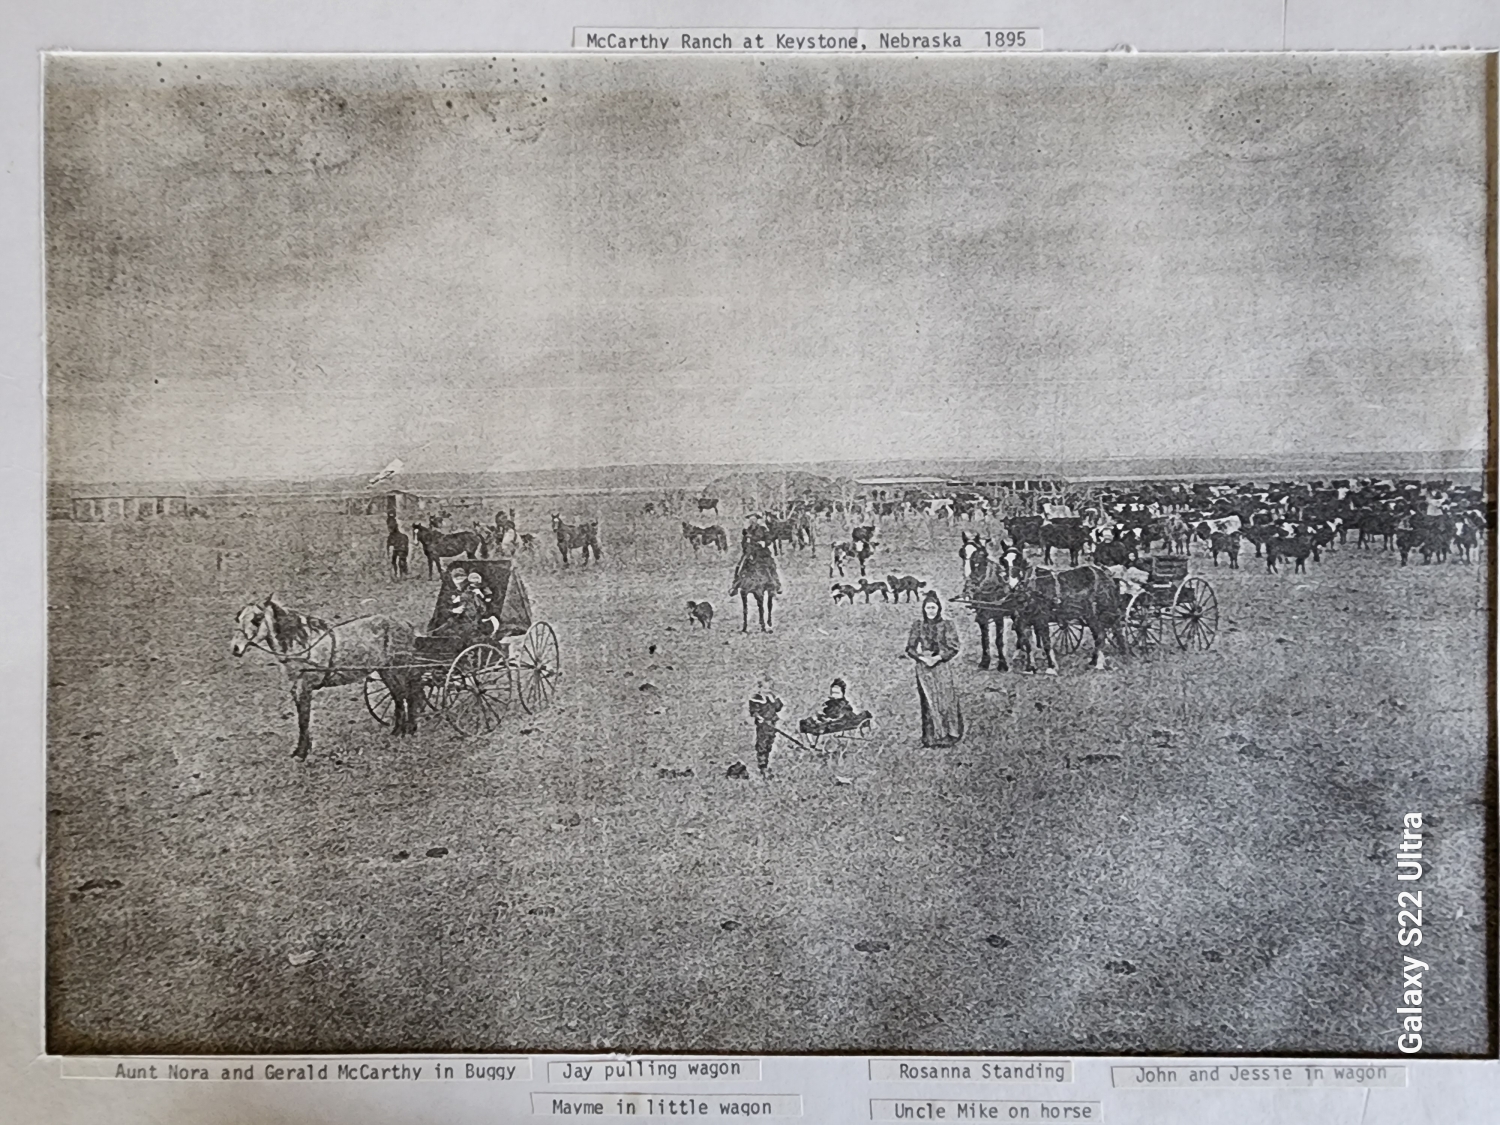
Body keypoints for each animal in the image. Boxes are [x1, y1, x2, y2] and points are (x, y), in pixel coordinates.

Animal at [232, 600, 423, 759]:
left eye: (257, 619)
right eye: (238, 618)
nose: (235, 648)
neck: (303, 645)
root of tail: (405, 624)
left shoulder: (305, 686)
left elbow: (304, 719)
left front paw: (301, 753)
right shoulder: (296, 688)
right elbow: (302, 717)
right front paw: (303, 749)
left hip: (399, 667)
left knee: (410, 694)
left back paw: (410, 729)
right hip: (386, 671)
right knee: (399, 695)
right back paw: (398, 731)